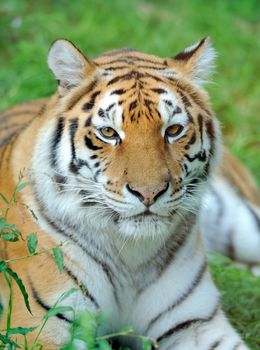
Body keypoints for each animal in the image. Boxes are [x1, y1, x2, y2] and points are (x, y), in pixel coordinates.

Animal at [0, 37, 260, 348]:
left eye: (173, 130)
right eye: (109, 133)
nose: (149, 193)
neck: (130, 257)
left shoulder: (197, 325)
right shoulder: (41, 327)